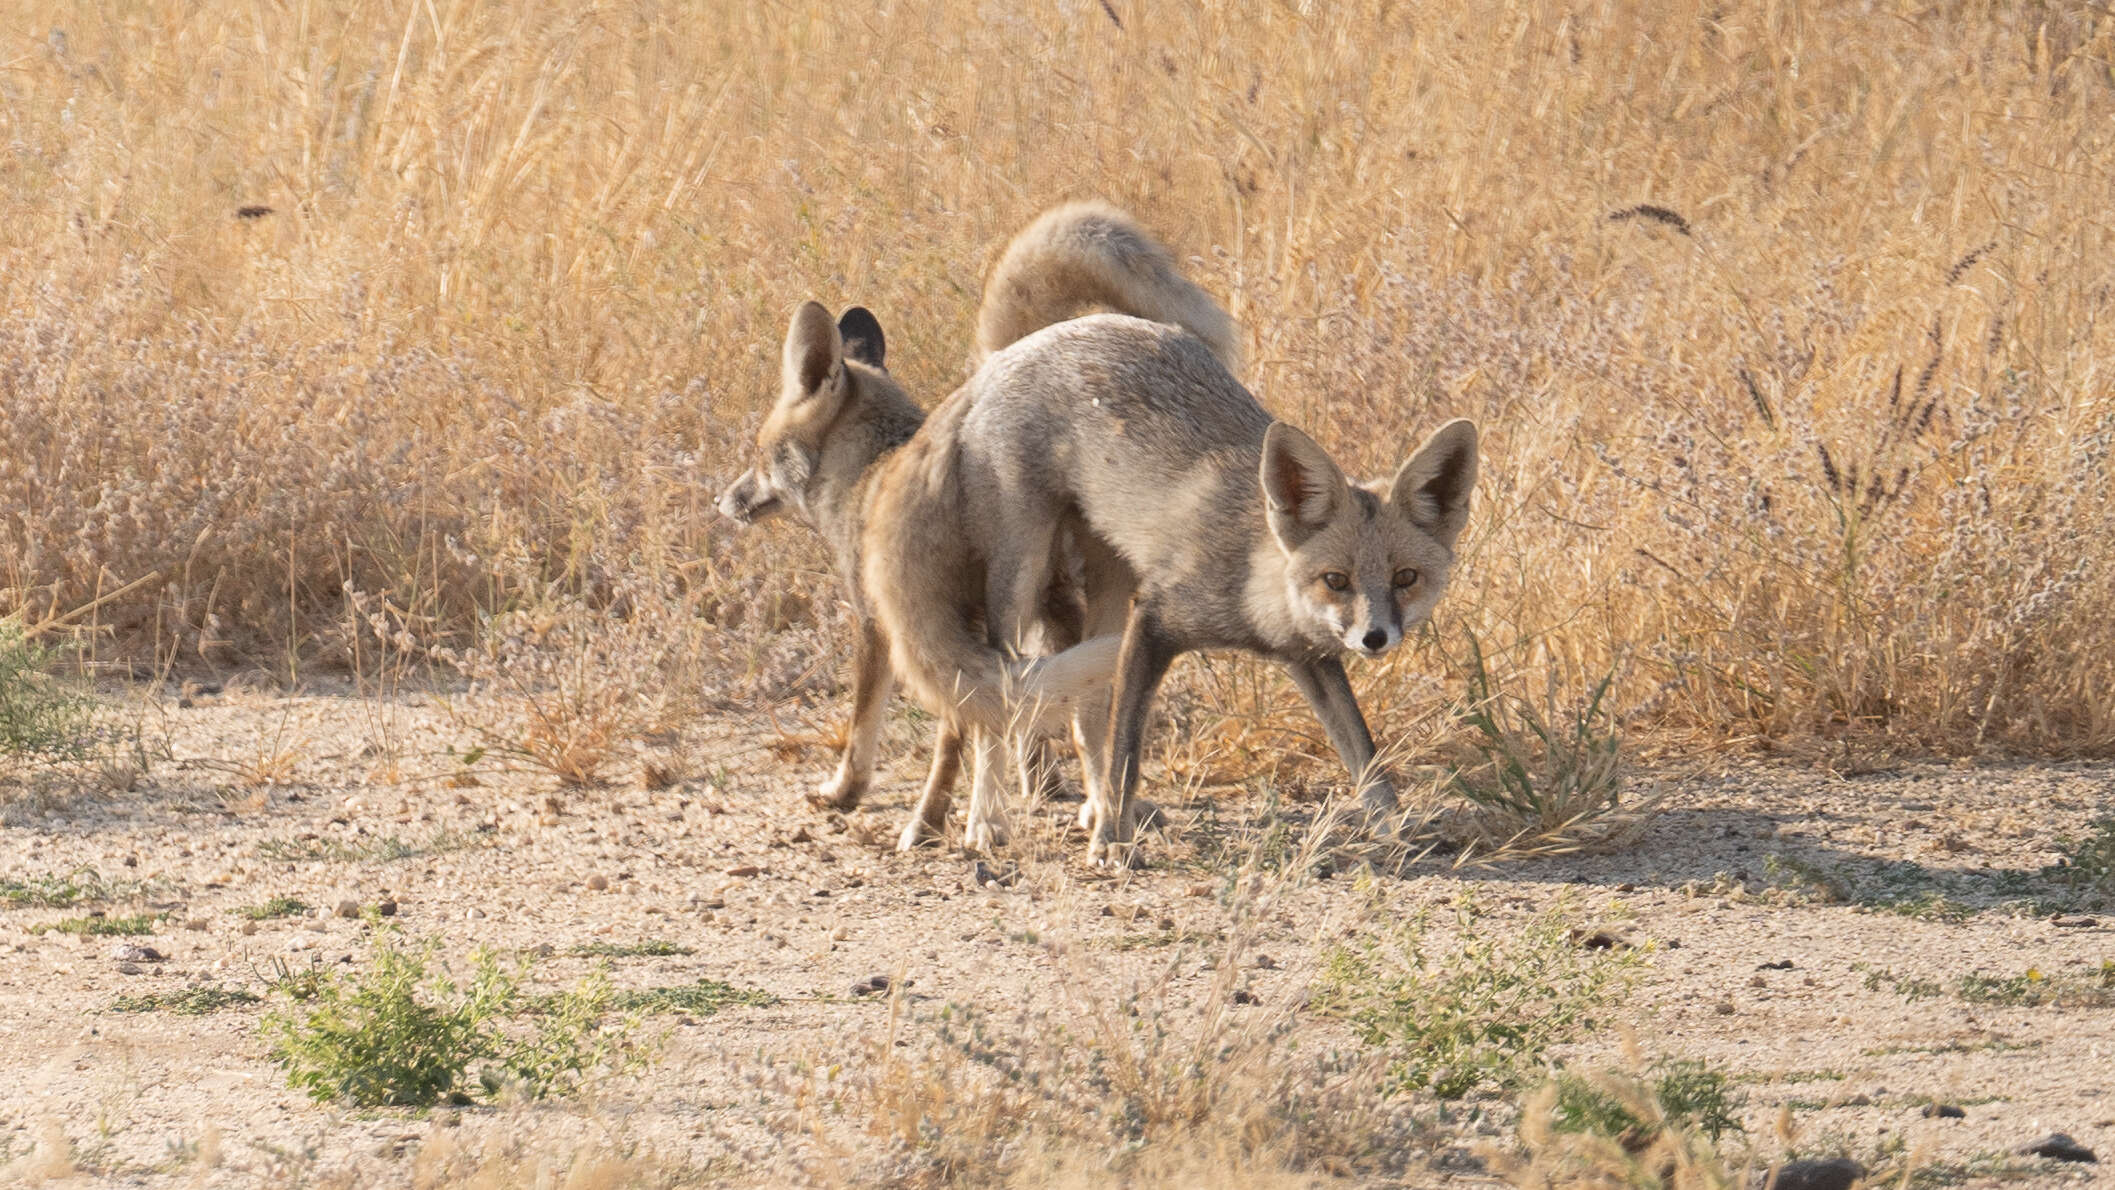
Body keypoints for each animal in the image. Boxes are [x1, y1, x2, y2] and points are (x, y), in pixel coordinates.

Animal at [723, 205, 1235, 853]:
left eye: (757, 454)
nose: (725, 500)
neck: (872, 473)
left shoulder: (879, 623)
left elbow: (875, 726)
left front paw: (858, 796)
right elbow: (971, 728)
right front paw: (954, 810)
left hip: (1012, 591)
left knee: (1022, 699)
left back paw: (998, 819)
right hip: (1067, 593)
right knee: (1074, 706)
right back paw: (1085, 804)